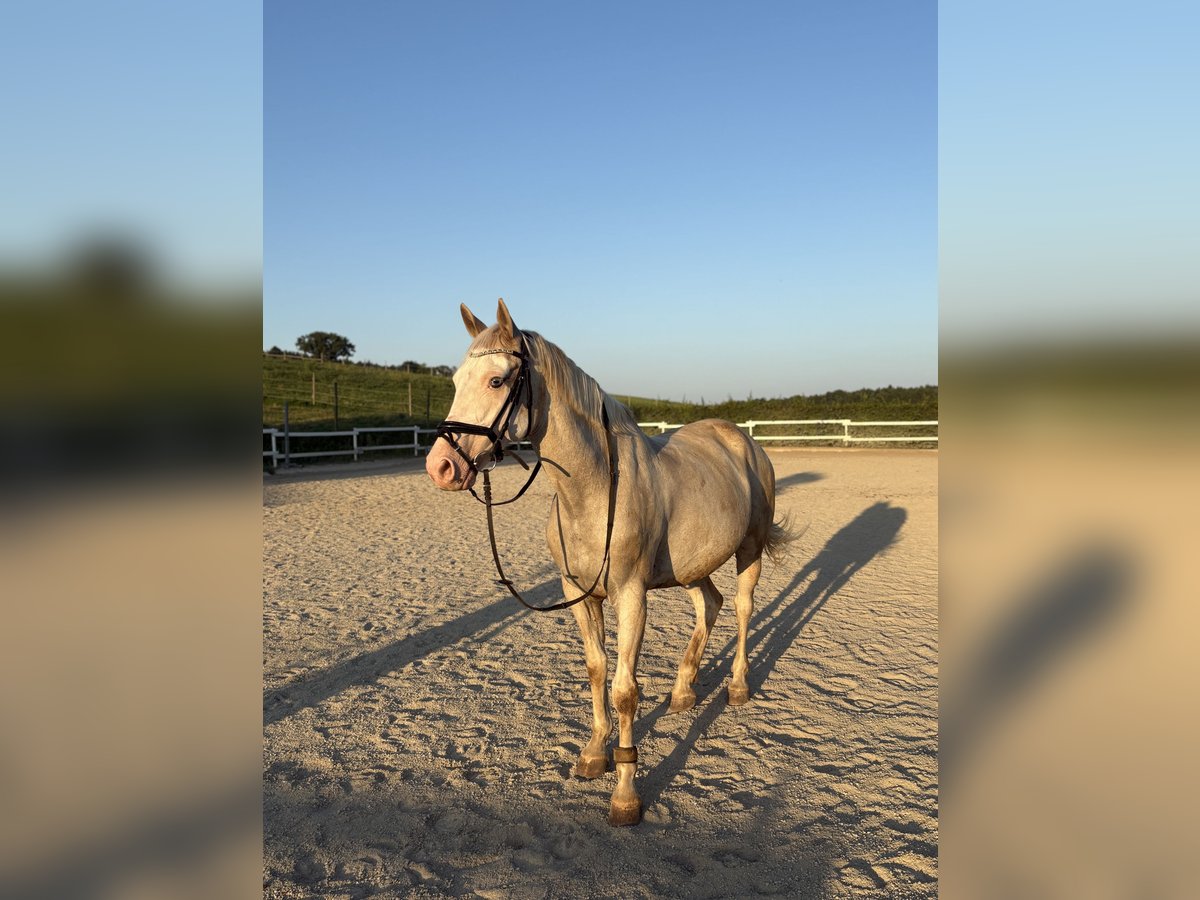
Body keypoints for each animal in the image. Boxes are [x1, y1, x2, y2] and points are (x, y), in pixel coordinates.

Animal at [425, 299, 793, 826]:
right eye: (456, 381)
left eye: (497, 380)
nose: (441, 466)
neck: (594, 489)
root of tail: (742, 440)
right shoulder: (577, 594)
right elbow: (597, 669)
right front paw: (595, 754)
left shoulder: (631, 597)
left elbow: (624, 690)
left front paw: (625, 795)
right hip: (693, 567)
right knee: (710, 605)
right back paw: (684, 691)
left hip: (750, 550)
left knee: (742, 608)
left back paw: (738, 686)